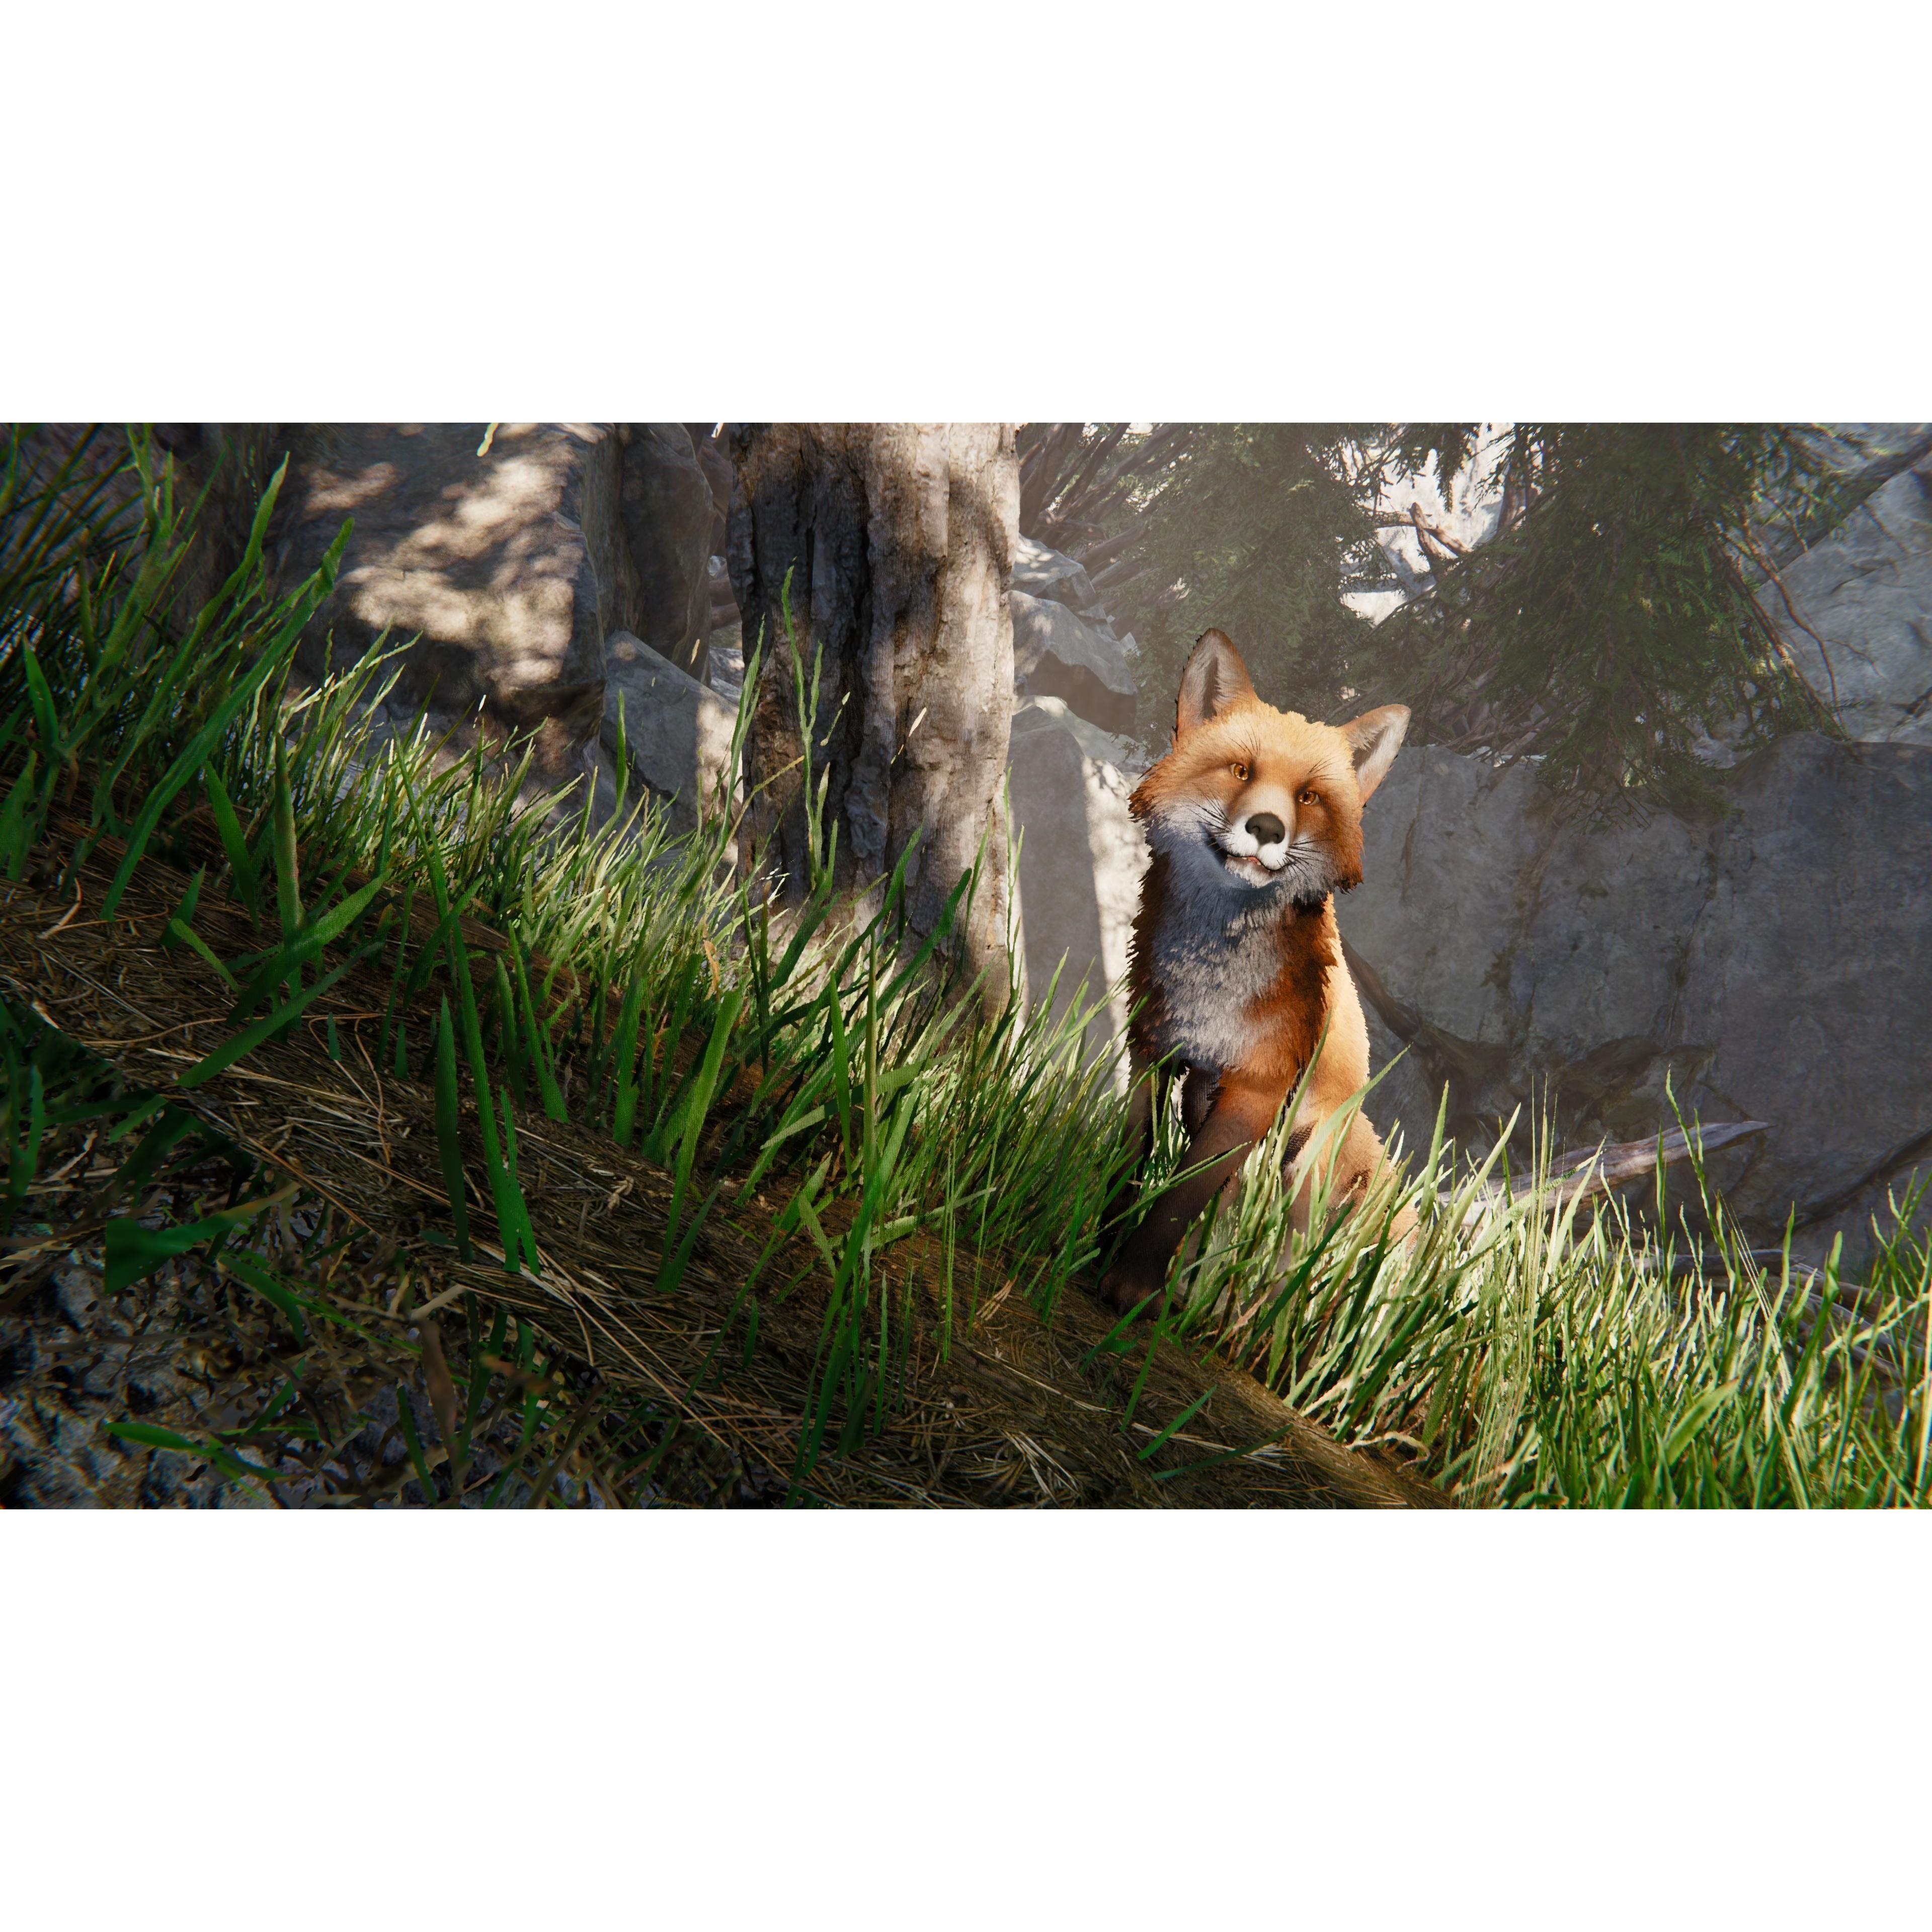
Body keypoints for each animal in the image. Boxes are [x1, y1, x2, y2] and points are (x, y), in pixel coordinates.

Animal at [1098, 628, 1410, 1318]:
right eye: (1242, 771)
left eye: (1308, 797)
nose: (1266, 828)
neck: (1210, 986)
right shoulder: (1153, 1054)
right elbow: (1131, 1164)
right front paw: (1095, 1251)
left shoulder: (1257, 1087)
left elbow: (1179, 1200)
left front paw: (1133, 1289)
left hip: (1305, 1170)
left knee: (1288, 1259)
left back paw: (1252, 1319)